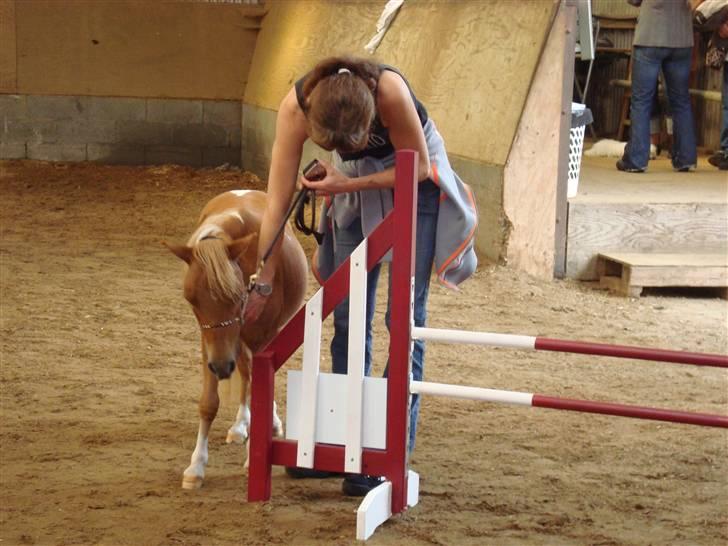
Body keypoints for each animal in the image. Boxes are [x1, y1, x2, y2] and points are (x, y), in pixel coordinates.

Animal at [166, 189, 308, 486]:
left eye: (236, 295)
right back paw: (241, 424)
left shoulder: (261, 337)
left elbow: (261, 386)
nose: (221, 367)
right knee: (245, 370)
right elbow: (209, 403)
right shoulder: (209, 344)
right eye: (191, 299)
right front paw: (196, 466)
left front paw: (253, 456)